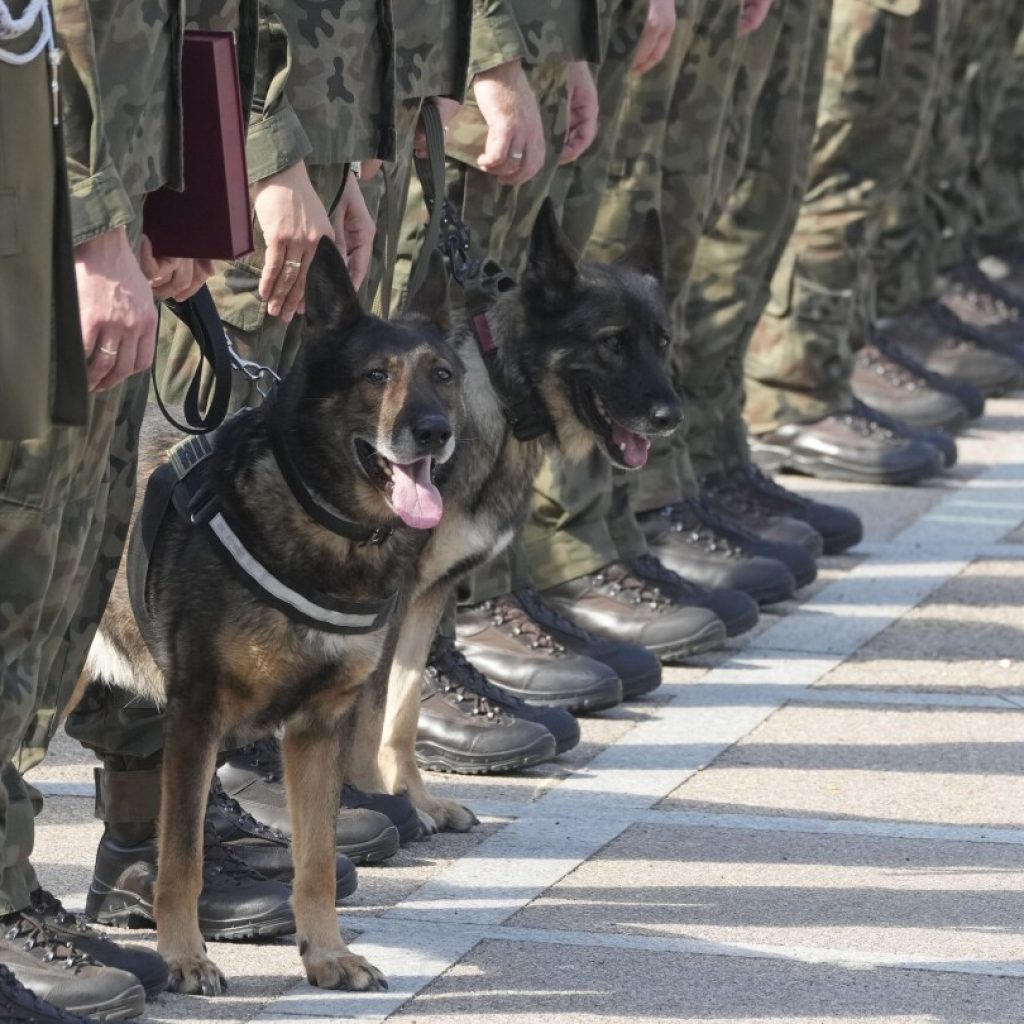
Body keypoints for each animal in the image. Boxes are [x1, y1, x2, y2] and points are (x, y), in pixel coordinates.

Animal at [88, 239, 464, 991]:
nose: (434, 432)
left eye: (441, 374)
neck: (321, 517)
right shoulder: (196, 716)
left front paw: (326, 954)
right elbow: (183, 859)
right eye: (375, 375)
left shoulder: (318, 729)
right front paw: (184, 955)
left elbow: (314, 861)